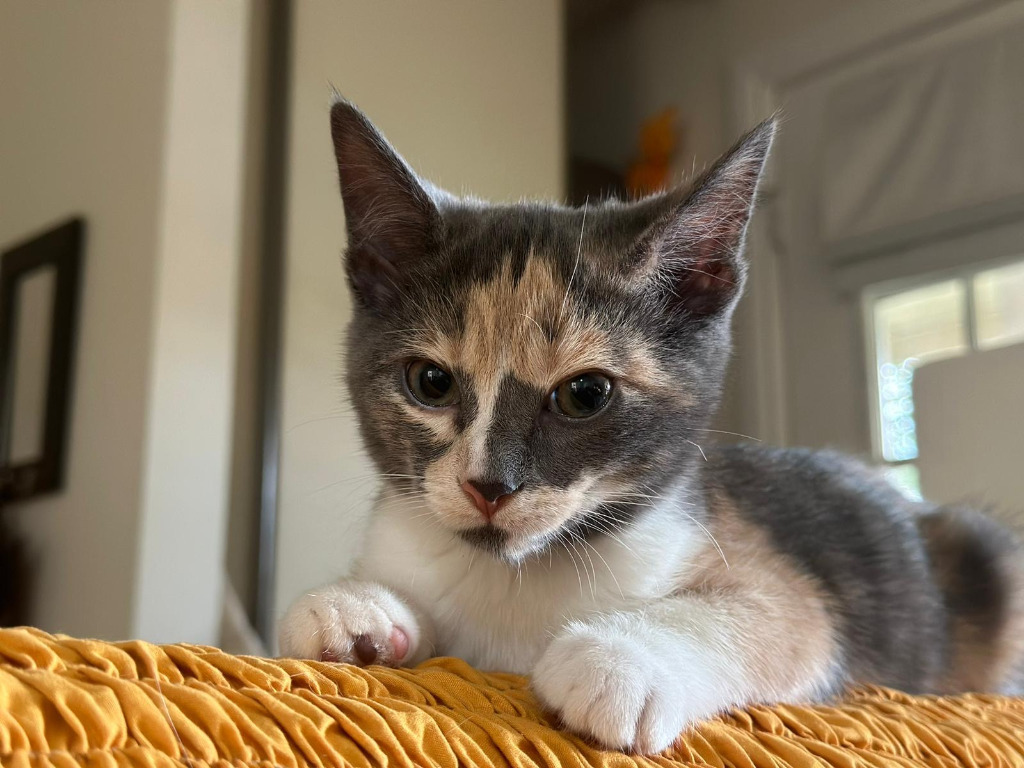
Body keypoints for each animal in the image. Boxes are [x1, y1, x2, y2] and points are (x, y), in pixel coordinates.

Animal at [280, 99, 1024, 753]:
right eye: (430, 383)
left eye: (585, 394)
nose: (488, 486)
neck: (519, 579)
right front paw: (354, 608)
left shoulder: (783, 580)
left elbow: (774, 616)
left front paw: (618, 659)